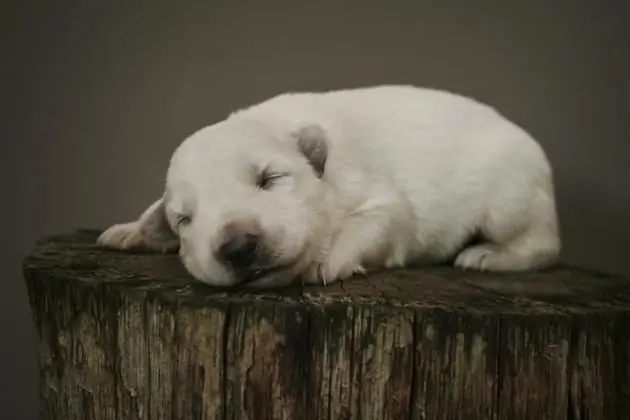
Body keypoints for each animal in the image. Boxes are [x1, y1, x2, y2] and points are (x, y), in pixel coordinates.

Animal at [99, 85, 564, 288]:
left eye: (270, 178)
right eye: (184, 219)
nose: (238, 248)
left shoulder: (379, 195)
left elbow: (381, 222)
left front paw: (324, 260)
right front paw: (129, 231)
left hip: (511, 194)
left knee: (541, 241)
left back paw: (487, 255)